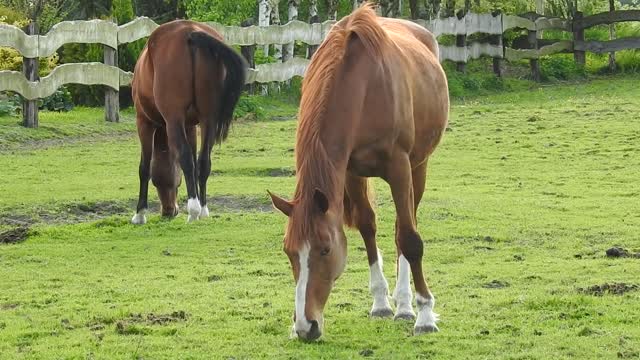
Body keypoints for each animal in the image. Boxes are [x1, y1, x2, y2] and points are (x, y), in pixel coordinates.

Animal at [131, 20, 248, 225]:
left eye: (162, 181)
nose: (169, 211)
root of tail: (190, 32)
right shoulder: (191, 126)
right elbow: (195, 162)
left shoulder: (144, 122)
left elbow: (144, 167)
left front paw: (140, 213)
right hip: (208, 119)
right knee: (203, 161)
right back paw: (203, 209)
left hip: (174, 120)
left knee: (185, 158)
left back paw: (193, 210)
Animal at [268, 3, 448, 340]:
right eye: (288, 252)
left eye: (325, 250)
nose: (305, 326)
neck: (363, 87)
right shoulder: (349, 171)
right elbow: (367, 226)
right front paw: (380, 302)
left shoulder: (399, 167)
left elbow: (410, 239)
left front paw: (425, 315)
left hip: (418, 166)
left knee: (406, 227)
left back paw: (407, 305)